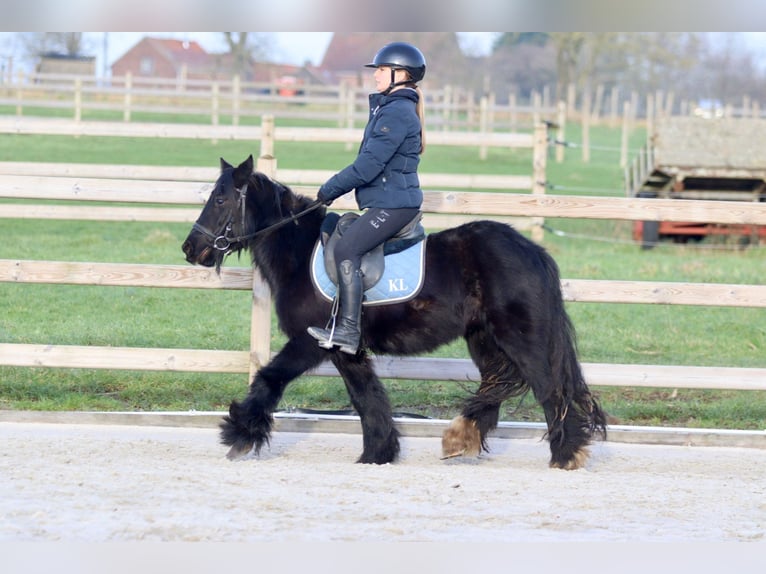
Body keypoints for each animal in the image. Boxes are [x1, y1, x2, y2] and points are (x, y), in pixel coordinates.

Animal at [183, 155, 608, 470]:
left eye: (220, 199)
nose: (190, 249)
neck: (299, 251)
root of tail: (531, 250)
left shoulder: (310, 341)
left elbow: (269, 378)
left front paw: (239, 434)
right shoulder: (346, 350)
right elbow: (367, 398)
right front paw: (378, 454)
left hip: (520, 338)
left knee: (549, 389)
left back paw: (566, 454)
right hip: (485, 340)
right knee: (497, 385)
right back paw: (461, 437)